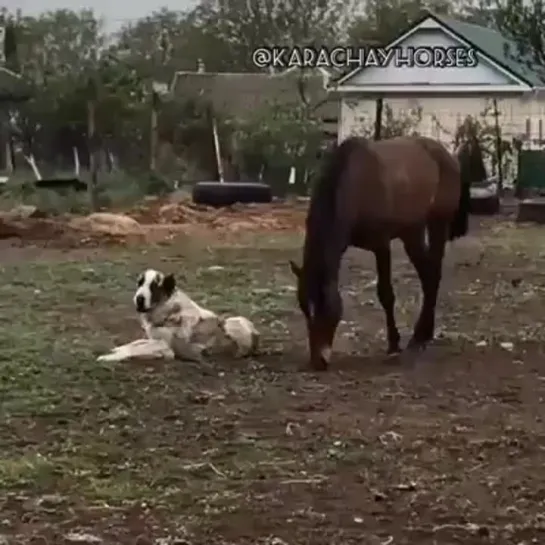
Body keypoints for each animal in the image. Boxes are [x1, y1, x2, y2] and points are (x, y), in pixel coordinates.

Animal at [98, 268, 260, 362]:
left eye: (154, 286)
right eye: (140, 283)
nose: (139, 298)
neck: (167, 309)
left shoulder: (165, 346)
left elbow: (135, 348)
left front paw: (108, 357)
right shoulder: (154, 339)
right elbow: (136, 343)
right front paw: (117, 349)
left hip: (230, 323)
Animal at [286, 134, 482, 370]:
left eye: (325, 307)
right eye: (305, 308)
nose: (318, 361)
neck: (354, 185)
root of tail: (448, 156)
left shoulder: (381, 245)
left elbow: (386, 294)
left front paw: (394, 344)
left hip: (437, 223)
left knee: (434, 274)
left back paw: (420, 336)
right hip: (412, 232)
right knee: (427, 276)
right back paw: (424, 334)